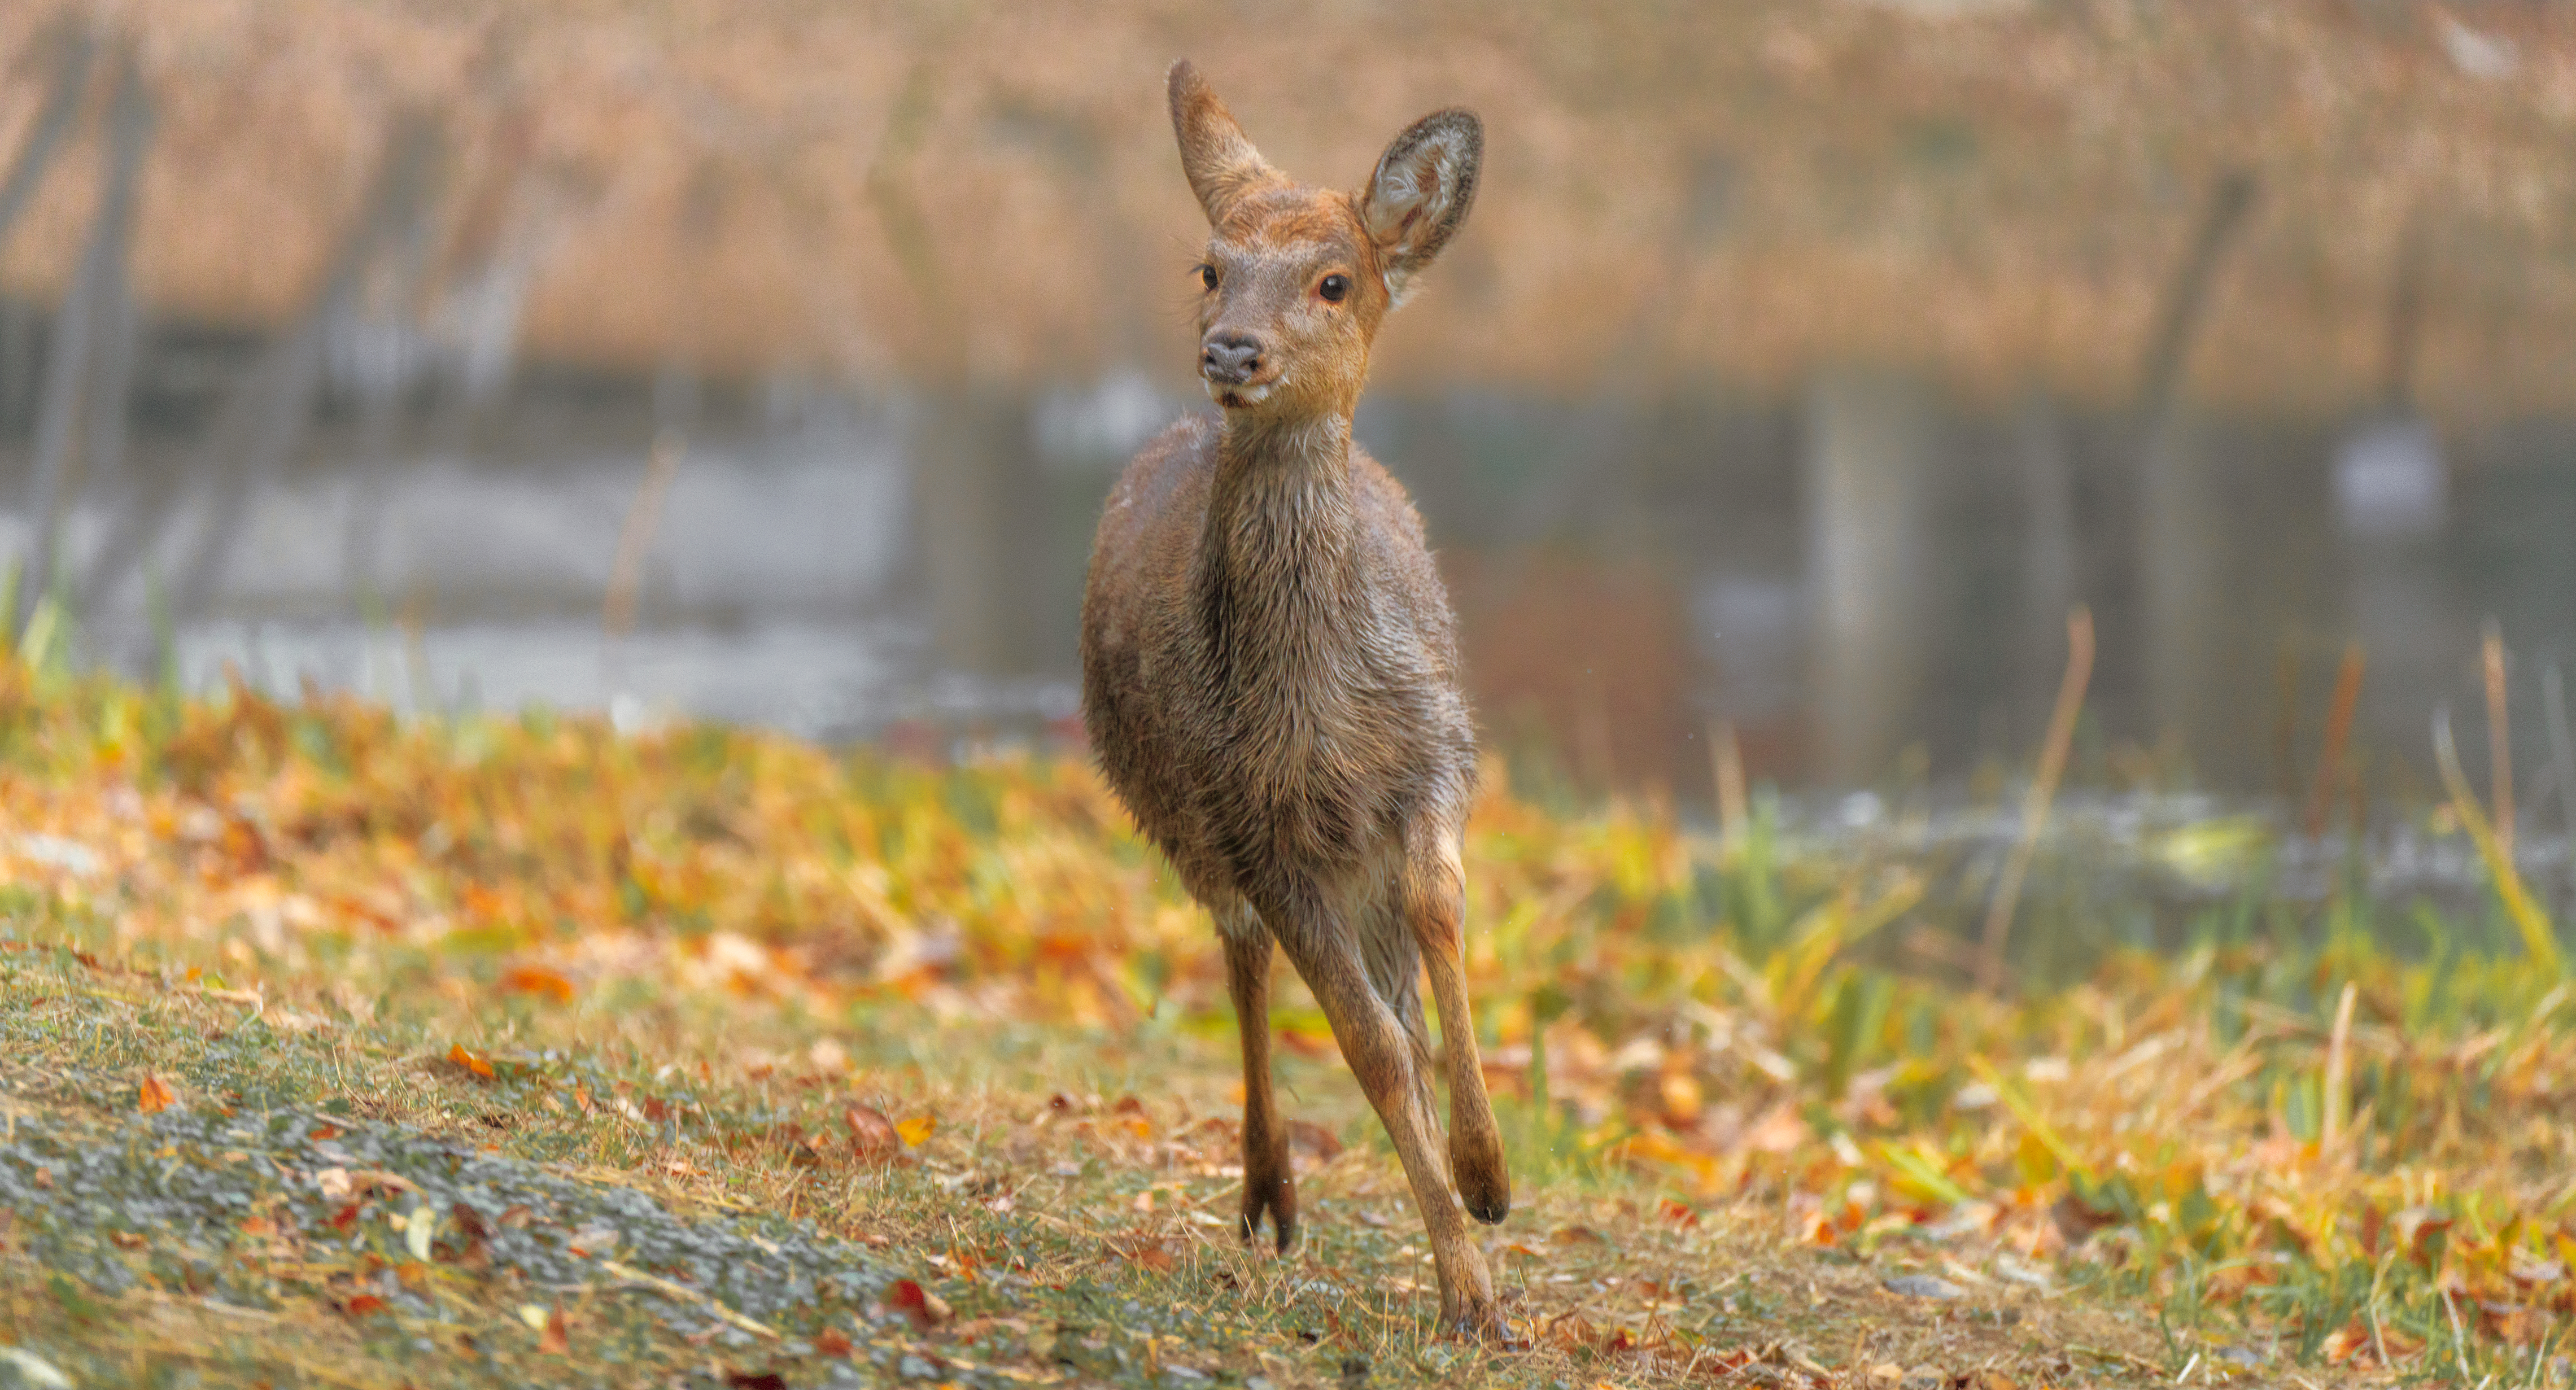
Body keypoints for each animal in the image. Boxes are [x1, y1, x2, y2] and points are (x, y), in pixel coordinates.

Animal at [1071, 60, 1504, 1328]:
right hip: (1174, 812)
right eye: (1210, 265)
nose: (1231, 351)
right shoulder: (1251, 822)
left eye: (1335, 279)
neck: (1320, 714)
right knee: (1242, 954)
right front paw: (1470, 1291)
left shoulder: (1434, 758)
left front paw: (1487, 1177)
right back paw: (1267, 1192)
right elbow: (1368, 1046)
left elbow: (1440, 921)